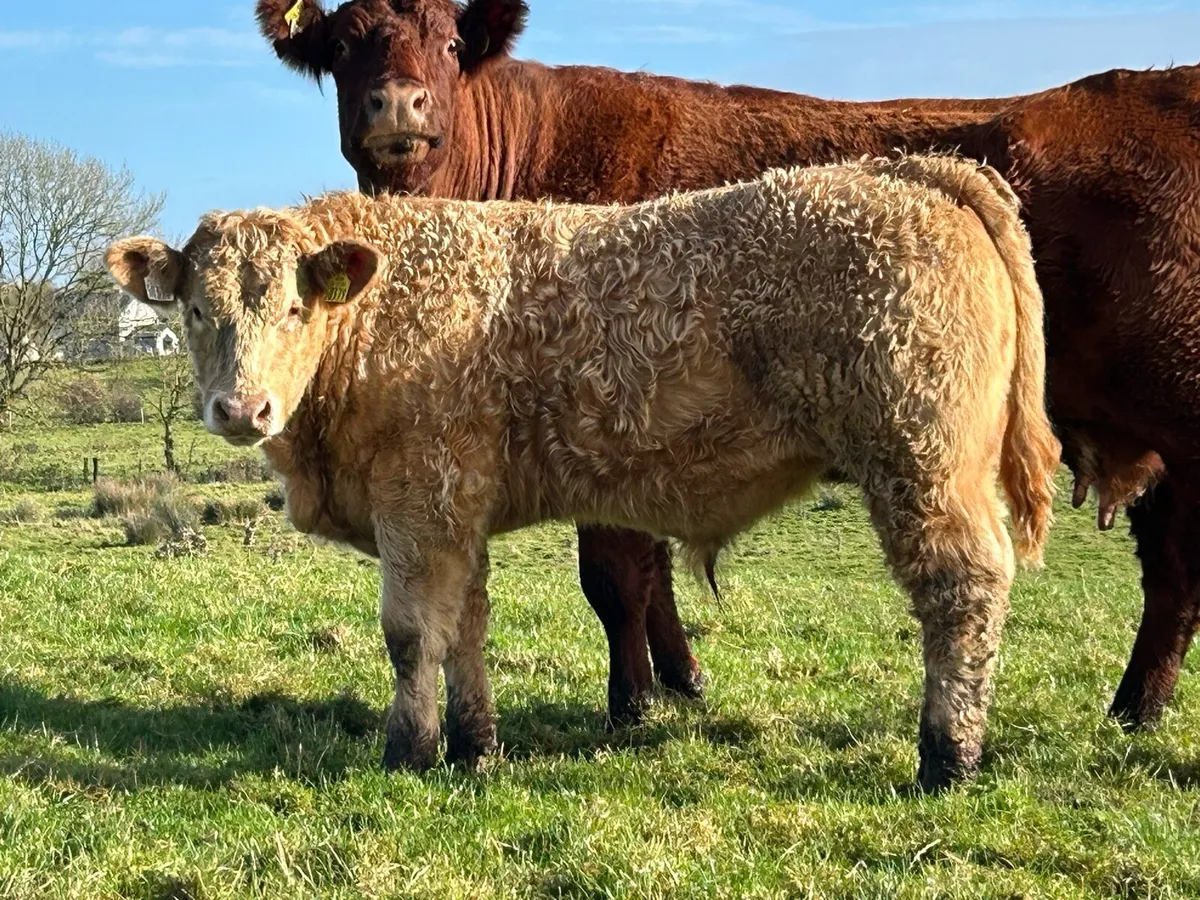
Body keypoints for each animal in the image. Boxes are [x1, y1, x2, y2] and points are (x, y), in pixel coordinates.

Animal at [105, 154, 1060, 791]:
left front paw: (406, 752)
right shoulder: (459, 509)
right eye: (197, 310)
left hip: (923, 461)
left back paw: (947, 757)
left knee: (963, 589)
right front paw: (474, 746)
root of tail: (910, 172)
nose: (242, 409)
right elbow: (466, 629)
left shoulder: (420, 500)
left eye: (296, 308)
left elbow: (412, 635)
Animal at [256, 0, 1200, 734]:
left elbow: (617, 577)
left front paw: (634, 701)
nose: (397, 107)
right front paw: (679, 682)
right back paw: (1134, 710)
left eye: (450, 41)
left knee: (1166, 574)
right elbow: (648, 574)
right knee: (1172, 575)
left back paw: (1127, 712)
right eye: (343, 44)